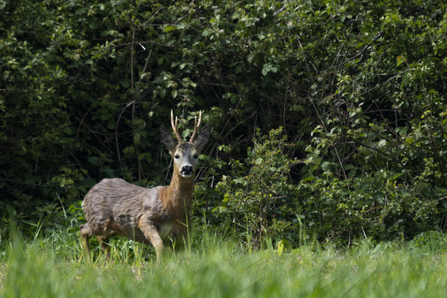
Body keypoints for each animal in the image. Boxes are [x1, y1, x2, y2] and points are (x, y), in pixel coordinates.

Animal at [79, 110, 211, 262]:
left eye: (196, 155)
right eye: (176, 155)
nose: (187, 168)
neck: (172, 206)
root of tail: (87, 195)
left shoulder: (183, 234)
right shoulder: (145, 219)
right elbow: (159, 246)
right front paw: (158, 266)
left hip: (112, 228)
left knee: (102, 240)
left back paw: (109, 263)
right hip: (98, 218)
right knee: (83, 228)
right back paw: (89, 261)